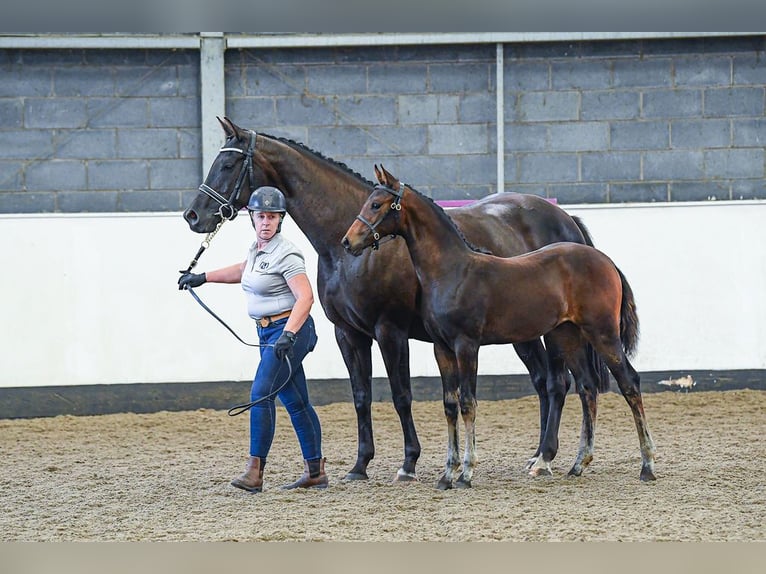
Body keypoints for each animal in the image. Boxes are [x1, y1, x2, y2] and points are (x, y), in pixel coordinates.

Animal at [184, 119, 608, 484]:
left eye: (227, 163)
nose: (193, 215)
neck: (348, 247)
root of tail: (564, 220)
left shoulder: (390, 331)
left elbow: (402, 396)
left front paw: (409, 464)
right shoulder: (348, 334)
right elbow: (361, 397)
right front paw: (359, 466)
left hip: (549, 331)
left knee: (556, 382)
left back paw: (547, 458)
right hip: (525, 332)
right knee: (544, 382)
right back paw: (539, 455)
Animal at [344, 177, 660, 490]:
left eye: (376, 204)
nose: (348, 242)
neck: (451, 271)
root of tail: (606, 262)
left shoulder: (466, 345)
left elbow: (468, 403)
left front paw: (466, 473)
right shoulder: (442, 348)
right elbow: (450, 405)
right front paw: (447, 475)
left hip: (602, 333)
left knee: (629, 383)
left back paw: (646, 466)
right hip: (567, 336)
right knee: (587, 387)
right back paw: (578, 465)